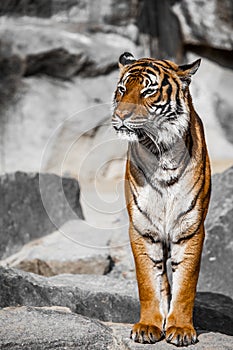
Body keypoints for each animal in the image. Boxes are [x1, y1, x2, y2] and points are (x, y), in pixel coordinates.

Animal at [111, 53, 211, 346]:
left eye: (148, 91)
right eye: (122, 89)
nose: (120, 116)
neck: (161, 154)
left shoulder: (190, 229)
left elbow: (185, 284)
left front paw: (181, 329)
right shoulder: (143, 230)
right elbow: (149, 282)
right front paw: (148, 326)